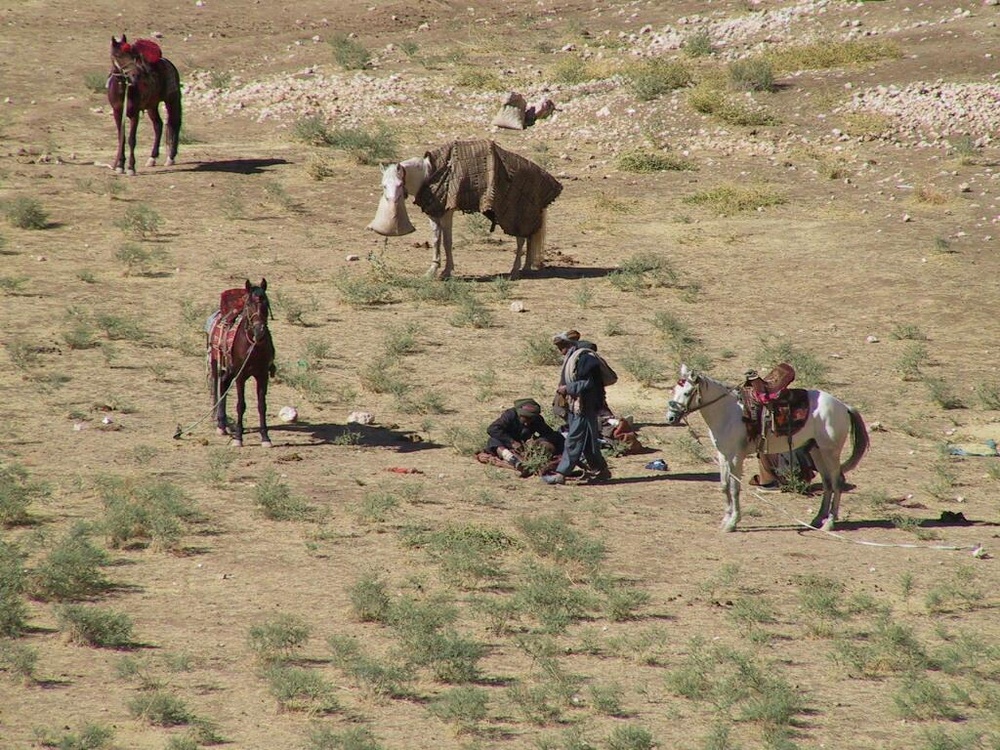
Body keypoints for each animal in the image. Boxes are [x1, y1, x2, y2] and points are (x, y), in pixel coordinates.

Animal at [108, 36, 183, 176]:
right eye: (118, 55)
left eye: (133, 55)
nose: (135, 75)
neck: (124, 90)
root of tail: (166, 61)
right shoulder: (117, 113)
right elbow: (122, 138)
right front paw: (120, 166)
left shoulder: (134, 114)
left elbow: (131, 140)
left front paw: (131, 168)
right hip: (152, 106)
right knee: (158, 125)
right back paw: (152, 158)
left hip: (172, 100)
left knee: (175, 123)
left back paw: (170, 158)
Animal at [208, 280, 278, 446]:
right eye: (249, 305)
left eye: (266, 303)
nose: (260, 331)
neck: (253, 346)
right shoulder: (241, 376)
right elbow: (241, 405)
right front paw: (239, 438)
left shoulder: (262, 375)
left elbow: (262, 405)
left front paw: (265, 437)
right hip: (216, 363)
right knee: (219, 386)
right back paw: (221, 426)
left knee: (223, 384)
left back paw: (223, 424)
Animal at [368, 138, 564, 280]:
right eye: (383, 185)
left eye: (399, 184)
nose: (392, 202)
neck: (430, 174)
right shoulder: (434, 214)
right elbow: (436, 240)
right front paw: (432, 270)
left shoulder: (446, 213)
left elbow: (447, 241)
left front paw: (446, 272)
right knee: (530, 238)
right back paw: (526, 267)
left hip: (515, 215)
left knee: (521, 240)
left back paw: (516, 270)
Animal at [664, 366, 868, 536]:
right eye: (674, 390)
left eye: (687, 392)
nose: (671, 418)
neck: (727, 412)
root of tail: (843, 406)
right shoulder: (723, 455)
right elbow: (724, 486)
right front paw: (725, 519)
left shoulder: (736, 457)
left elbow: (735, 488)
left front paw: (733, 523)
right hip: (816, 450)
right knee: (827, 483)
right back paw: (817, 519)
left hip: (830, 452)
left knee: (837, 482)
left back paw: (830, 523)